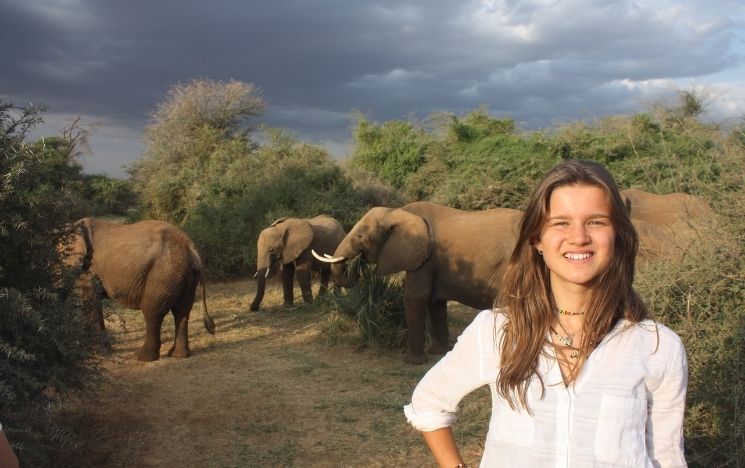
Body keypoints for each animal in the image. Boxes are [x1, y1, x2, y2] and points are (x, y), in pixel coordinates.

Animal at [60, 218, 214, 360]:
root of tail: (191, 247)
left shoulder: (88, 270)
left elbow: (90, 301)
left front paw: (97, 353)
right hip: (184, 275)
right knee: (181, 311)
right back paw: (178, 355)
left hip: (164, 273)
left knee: (151, 311)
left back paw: (142, 357)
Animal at [310, 199, 520, 364]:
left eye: (361, 236)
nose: (356, 268)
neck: (397, 212)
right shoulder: (432, 261)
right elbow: (435, 302)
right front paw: (439, 353)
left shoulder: (424, 258)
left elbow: (415, 298)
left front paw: (412, 362)